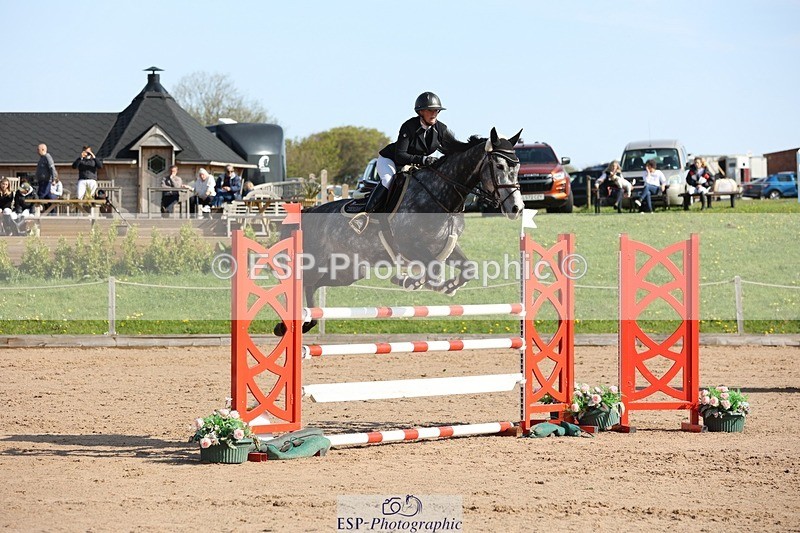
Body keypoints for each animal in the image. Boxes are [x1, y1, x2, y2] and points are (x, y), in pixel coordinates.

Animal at [274, 127, 524, 336]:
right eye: (499, 166)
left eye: (517, 167)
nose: (517, 208)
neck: (440, 195)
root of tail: (310, 210)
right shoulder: (409, 246)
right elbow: (432, 270)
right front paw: (411, 282)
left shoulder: (445, 246)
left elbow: (467, 269)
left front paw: (448, 286)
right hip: (318, 262)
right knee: (302, 282)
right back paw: (285, 325)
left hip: (347, 271)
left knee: (312, 285)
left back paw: (308, 322)